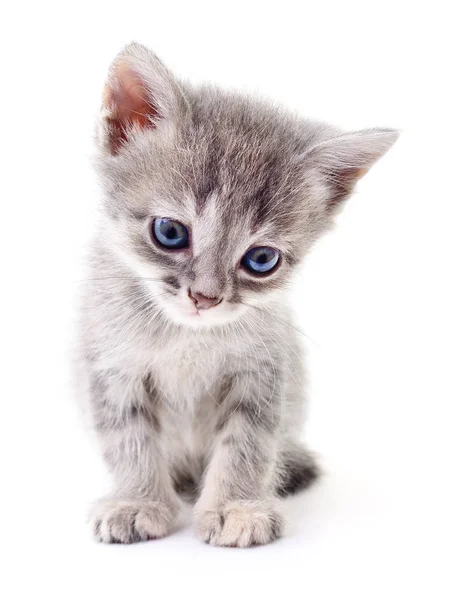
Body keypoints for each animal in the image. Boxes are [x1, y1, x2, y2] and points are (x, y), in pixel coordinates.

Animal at [76, 43, 398, 548]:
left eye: (261, 259)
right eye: (170, 232)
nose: (204, 298)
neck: (187, 337)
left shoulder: (261, 371)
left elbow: (247, 443)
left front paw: (236, 506)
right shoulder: (112, 365)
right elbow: (128, 439)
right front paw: (136, 500)